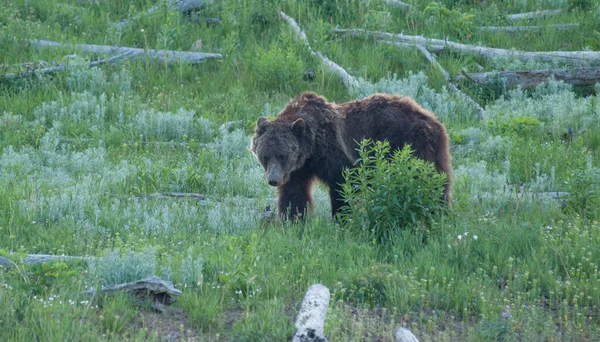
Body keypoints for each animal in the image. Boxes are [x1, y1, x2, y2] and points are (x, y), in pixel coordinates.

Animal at [248, 91, 450, 219]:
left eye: (282, 155)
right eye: (265, 156)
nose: (273, 180)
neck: (312, 148)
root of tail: (432, 119)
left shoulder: (334, 153)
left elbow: (344, 184)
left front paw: (342, 218)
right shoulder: (298, 169)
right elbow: (293, 193)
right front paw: (294, 220)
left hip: (412, 146)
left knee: (431, 180)